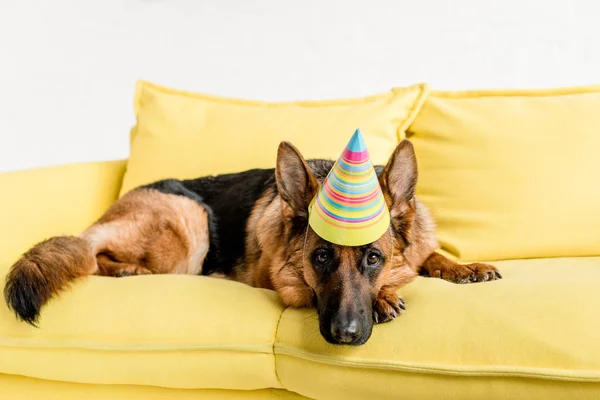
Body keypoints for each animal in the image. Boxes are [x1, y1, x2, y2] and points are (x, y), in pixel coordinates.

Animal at [3, 139, 502, 346]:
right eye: (321, 258)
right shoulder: (287, 282)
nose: (345, 335)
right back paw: (127, 268)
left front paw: (464, 267)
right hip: (189, 224)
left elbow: (430, 253)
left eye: (373, 257)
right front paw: (383, 298)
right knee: (93, 256)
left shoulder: (415, 244)